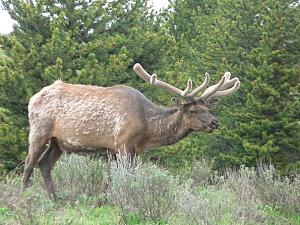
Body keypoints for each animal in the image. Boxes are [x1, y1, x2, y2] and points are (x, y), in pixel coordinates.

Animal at [21, 63, 239, 199]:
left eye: (207, 108)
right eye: (193, 110)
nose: (215, 122)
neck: (147, 130)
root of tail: (33, 98)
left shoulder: (125, 148)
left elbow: (109, 178)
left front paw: (101, 201)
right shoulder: (123, 142)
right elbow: (124, 177)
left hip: (58, 141)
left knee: (44, 164)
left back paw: (54, 199)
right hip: (39, 130)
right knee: (29, 164)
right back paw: (22, 196)